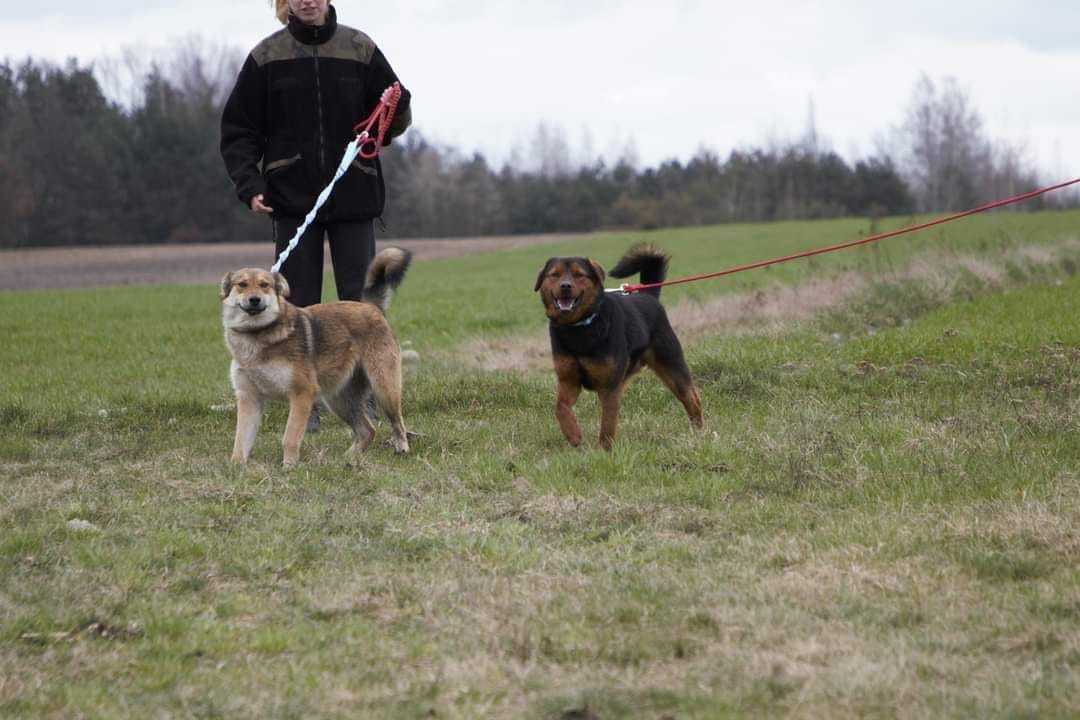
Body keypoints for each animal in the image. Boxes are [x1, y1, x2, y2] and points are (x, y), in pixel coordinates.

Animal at [218, 249, 408, 468]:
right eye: (242, 285)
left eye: (265, 285)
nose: (255, 299)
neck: (256, 334)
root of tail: (371, 307)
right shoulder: (249, 398)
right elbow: (241, 439)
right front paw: (236, 466)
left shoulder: (302, 393)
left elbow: (290, 436)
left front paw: (289, 466)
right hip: (339, 399)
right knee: (367, 430)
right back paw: (348, 458)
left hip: (384, 388)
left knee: (397, 422)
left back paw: (402, 447)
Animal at [535, 246, 704, 451]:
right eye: (555, 274)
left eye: (579, 274)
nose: (565, 286)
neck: (580, 326)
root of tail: (648, 295)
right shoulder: (569, 381)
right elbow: (560, 408)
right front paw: (573, 435)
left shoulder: (609, 386)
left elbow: (607, 423)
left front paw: (604, 450)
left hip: (672, 366)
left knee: (692, 399)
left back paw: (699, 433)